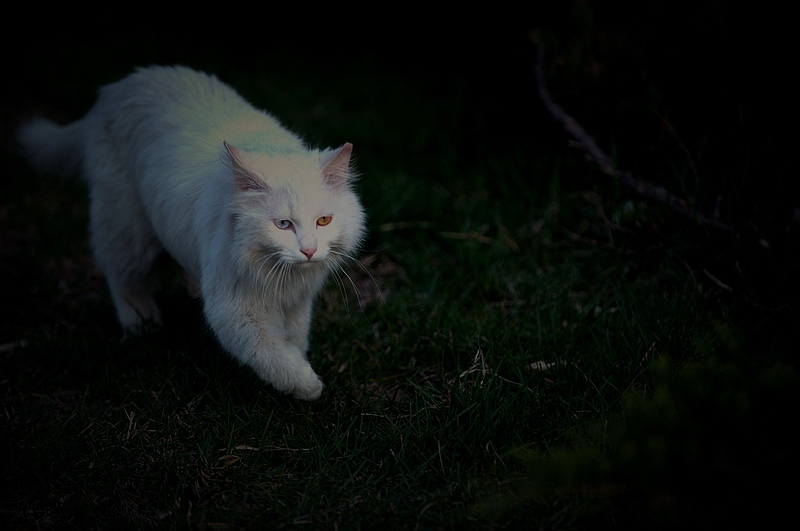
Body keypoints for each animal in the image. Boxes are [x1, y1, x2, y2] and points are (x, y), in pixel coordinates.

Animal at [16, 64, 366, 402]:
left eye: (323, 221)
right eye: (283, 225)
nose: (308, 251)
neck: (280, 273)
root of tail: (116, 89)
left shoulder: (297, 301)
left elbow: (294, 339)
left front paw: (302, 368)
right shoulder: (236, 309)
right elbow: (273, 355)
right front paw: (307, 387)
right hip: (128, 230)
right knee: (123, 281)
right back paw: (141, 326)